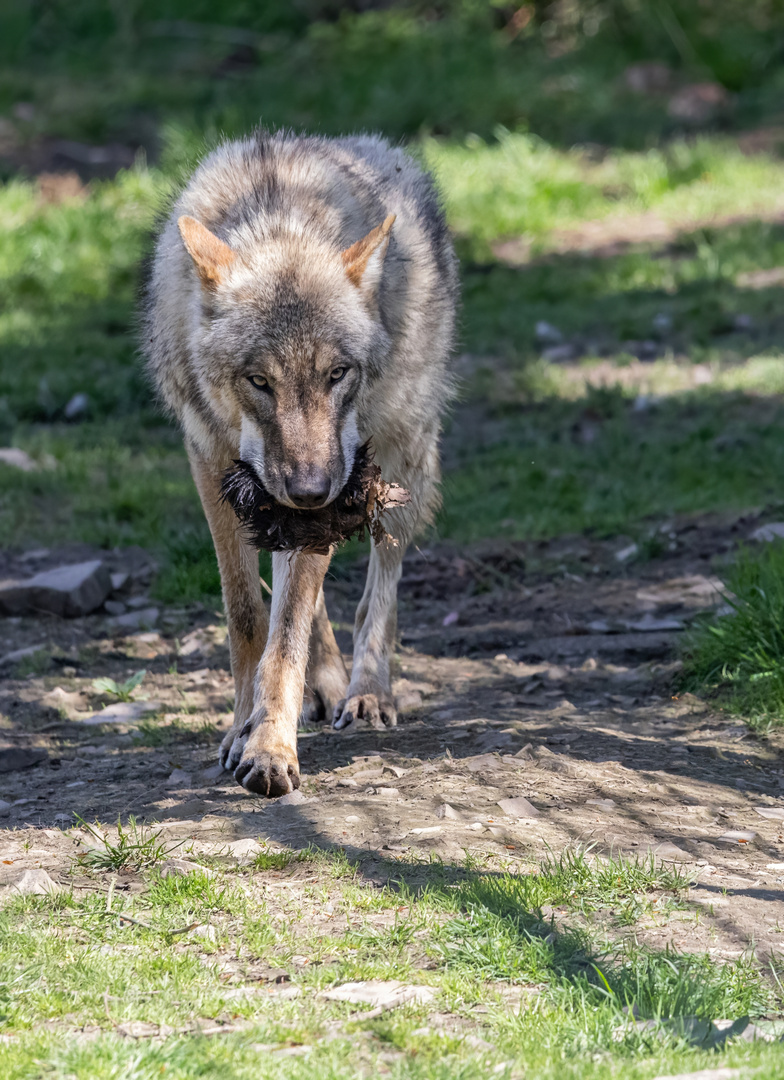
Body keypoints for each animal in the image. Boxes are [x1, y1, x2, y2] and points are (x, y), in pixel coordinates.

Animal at [144, 130, 457, 799]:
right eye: (259, 380)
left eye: (337, 373)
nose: (312, 491)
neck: (278, 221)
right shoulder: (211, 463)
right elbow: (248, 615)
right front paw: (243, 728)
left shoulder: (332, 488)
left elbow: (286, 632)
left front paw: (268, 749)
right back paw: (327, 686)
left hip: (398, 459)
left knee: (379, 587)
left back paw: (366, 694)